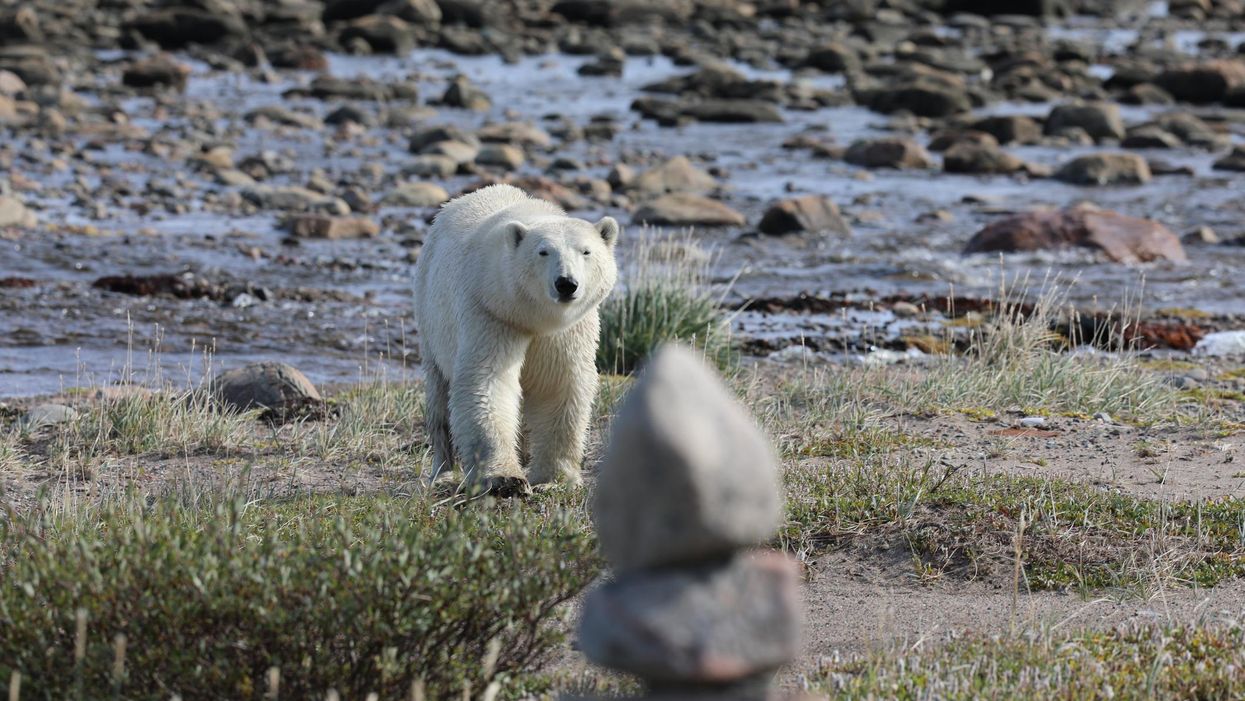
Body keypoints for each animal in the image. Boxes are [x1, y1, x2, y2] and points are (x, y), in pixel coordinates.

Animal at [412, 184, 620, 495]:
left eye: (586, 251)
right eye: (543, 252)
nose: (566, 284)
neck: (532, 317)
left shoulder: (566, 332)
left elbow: (559, 386)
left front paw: (554, 479)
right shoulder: (491, 312)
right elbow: (488, 381)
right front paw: (505, 478)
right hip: (430, 315)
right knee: (439, 396)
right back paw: (445, 472)